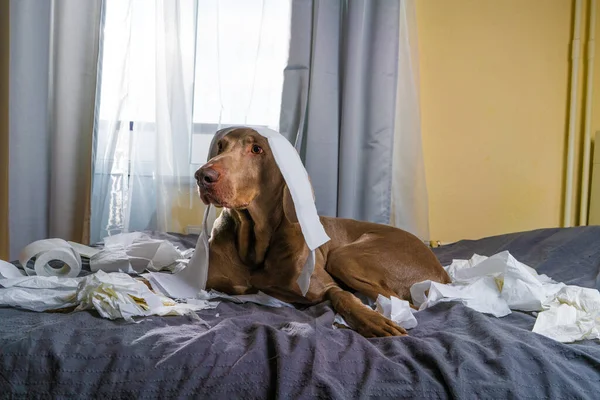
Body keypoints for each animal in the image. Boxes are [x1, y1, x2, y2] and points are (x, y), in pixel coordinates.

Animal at [196, 127, 450, 338]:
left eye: (256, 149)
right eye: (220, 146)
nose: (202, 176)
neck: (254, 244)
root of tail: (442, 271)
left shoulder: (325, 286)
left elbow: (344, 297)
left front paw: (372, 320)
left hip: (345, 257)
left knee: (406, 302)